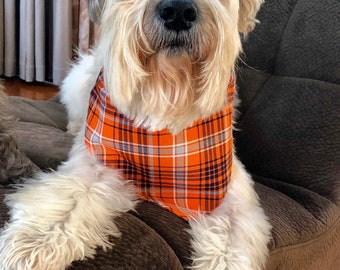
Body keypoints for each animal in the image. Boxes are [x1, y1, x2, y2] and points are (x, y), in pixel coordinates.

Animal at [0, 1, 270, 268]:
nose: (178, 12)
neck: (166, 95)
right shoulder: (98, 159)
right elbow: (69, 200)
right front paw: (35, 242)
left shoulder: (227, 187)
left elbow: (234, 244)